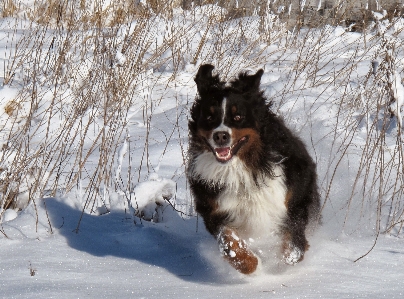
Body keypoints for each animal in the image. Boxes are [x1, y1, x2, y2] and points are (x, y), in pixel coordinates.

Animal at [187, 64, 322, 276]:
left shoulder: (295, 195)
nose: (220, 136)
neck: (240, 167)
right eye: (209, 117)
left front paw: (290, 256)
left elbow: (293, 231)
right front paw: (249, 263)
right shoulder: (213, 208)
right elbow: (228, 240)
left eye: (238, 116)